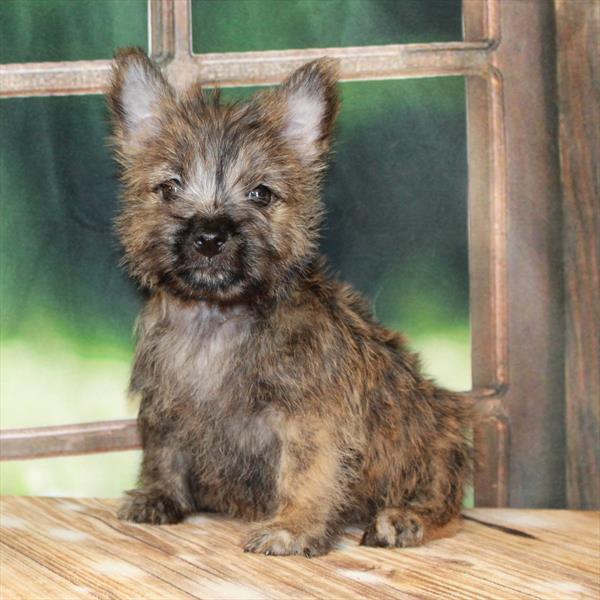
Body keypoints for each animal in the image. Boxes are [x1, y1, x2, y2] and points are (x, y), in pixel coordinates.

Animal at [109, 48, 474, 556]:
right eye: (169, 187)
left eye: (261, 193)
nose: (210, 236)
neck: (218, 317)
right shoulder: (167, 406)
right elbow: (164, 454)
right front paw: (160, 496)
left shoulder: (311, 418)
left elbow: (306, 473)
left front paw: (294, 526)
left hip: (438, 437)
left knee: (447, 505)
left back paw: (403, 519)